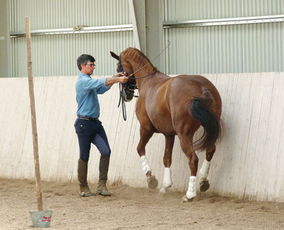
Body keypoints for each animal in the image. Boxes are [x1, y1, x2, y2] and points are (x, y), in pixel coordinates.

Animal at [111, 48, 222, 201]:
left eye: (119, 68)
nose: (126, 95)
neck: (148, 81)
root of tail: (201, 87)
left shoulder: (146, 129)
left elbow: (140, 149)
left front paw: (151, 179)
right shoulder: (169, 134)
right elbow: (167, 158)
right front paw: (166, 186)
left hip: (184, 135)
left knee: (193, 159)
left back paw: (190, 194)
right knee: (210, 150)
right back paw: (203, 181)